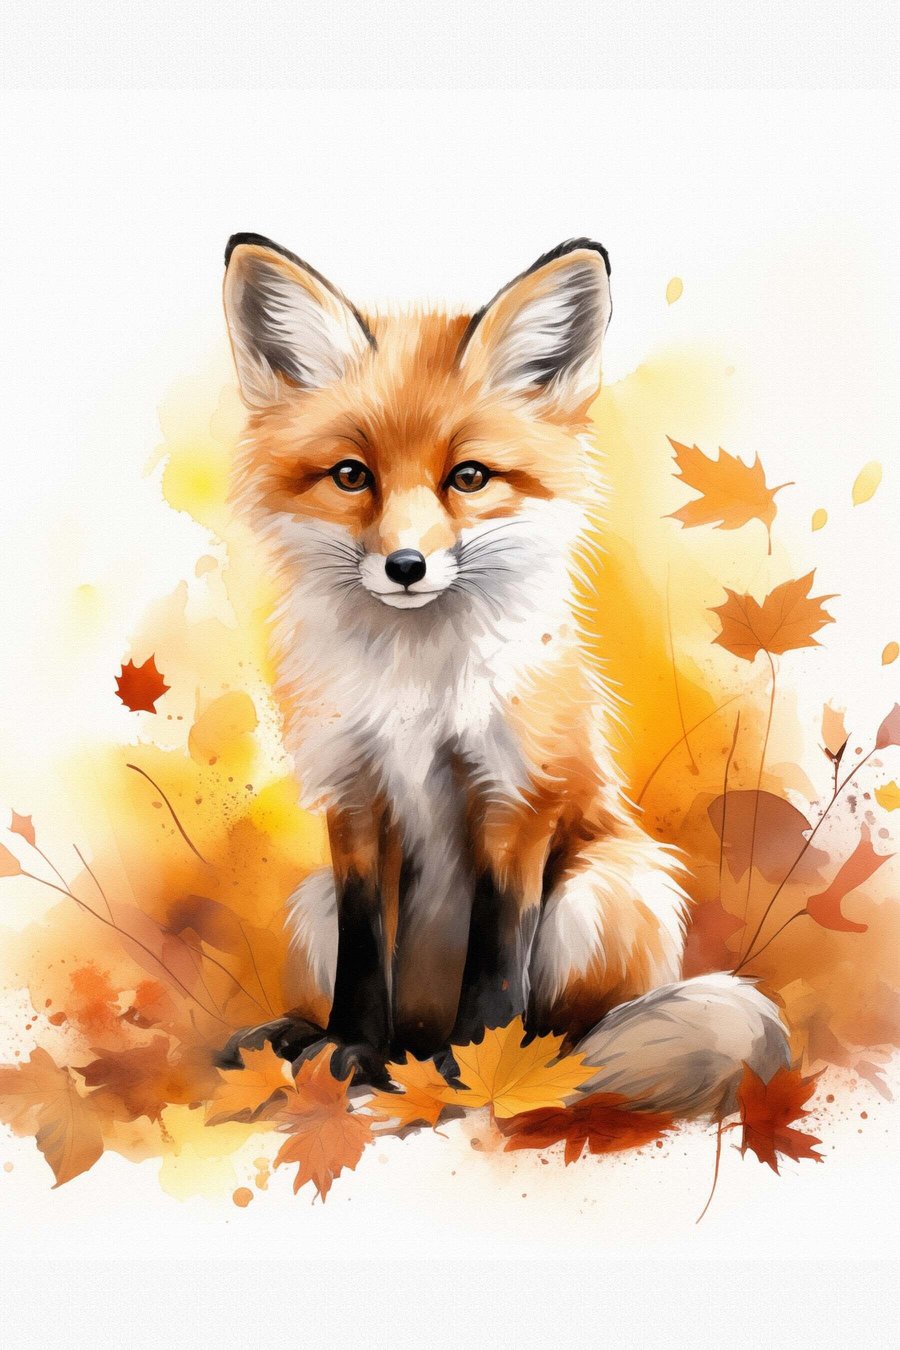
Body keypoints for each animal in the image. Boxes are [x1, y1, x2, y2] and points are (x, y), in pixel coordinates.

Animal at [218, 232, 789, 1118]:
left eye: (470, 477)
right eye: (351, 476)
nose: (406, 566)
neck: (416, 686)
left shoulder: (517, 794)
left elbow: (495, 958)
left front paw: (481, 1071)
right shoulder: (354, 794)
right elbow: (363, 952)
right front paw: (347, 1050)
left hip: (600, 892)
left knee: (574, 1030)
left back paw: (520, 1066)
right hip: (309, 903)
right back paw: (331, 1045)